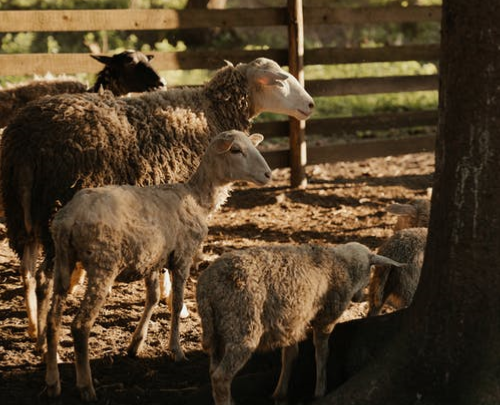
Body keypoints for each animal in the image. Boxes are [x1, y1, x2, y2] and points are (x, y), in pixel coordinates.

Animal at [46, 129, 274, 400]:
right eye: (236, 150)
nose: (268, 174)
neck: (196, 198)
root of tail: (69, 219)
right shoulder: (183, 256)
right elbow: (176, 303)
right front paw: (176, 350)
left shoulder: (153, 259)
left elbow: (153, 297)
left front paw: (136, 343)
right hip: (103, 263)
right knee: (80, 326)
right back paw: (86, 387)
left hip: (63, 260)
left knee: (52, 319)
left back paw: (53, 381)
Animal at [195, 241, 402, 402]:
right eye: (370, 271)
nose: (359, 298)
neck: (342, 265)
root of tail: (206, 288)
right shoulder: (326, 318)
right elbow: (322, 352)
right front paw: (320, 390)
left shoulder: (291, 321)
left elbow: (290, 355)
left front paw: (280, 393)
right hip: (242, 324)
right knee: (221, 377)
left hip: (218, 330)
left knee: (213, 370)